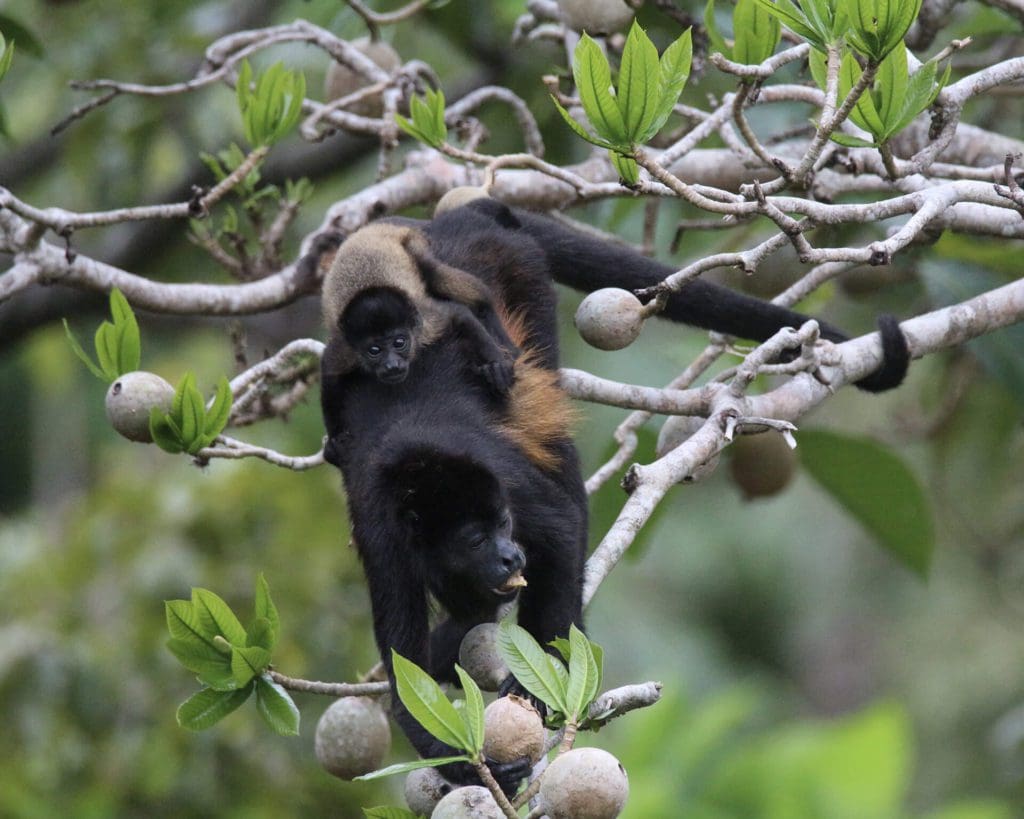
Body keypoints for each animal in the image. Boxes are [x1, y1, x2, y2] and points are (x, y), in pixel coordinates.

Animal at [321, 198, 913, 794]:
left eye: (502, 523)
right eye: (474, 539)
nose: (510, 556)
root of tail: (455, 224)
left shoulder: (499, 473)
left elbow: (559, 525)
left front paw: (543, 680)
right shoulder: (380, 532)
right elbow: (404, 669)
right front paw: (467, 763)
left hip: (517, 276)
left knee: (553, 445)